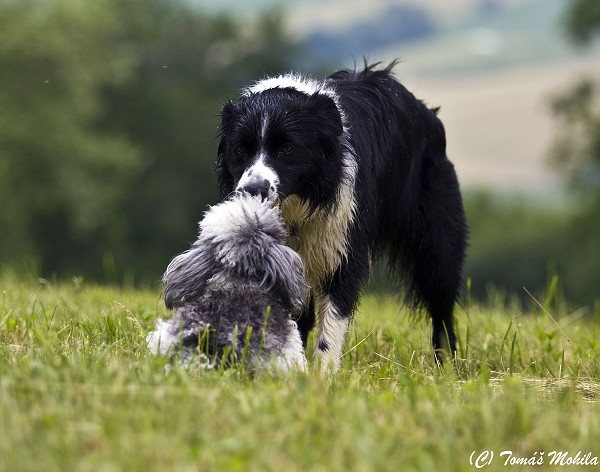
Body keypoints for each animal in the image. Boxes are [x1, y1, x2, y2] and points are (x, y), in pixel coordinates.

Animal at [211, 63, 464, 372]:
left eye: (287, 149)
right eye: (240, 149)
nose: (253, 190)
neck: (299, 200)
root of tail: (428, 112)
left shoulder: (343, 237)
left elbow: (335, 312)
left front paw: (324, 374)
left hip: (435, 226)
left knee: (440, 290)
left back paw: (448, 365)